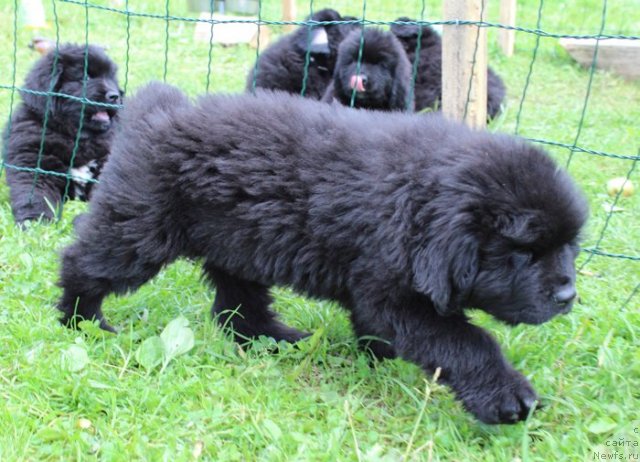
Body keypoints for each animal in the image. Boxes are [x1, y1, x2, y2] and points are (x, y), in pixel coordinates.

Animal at [3, 43, 122, 224]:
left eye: (111, 78)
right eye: (85, 77)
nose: (115, 95)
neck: (76, 136)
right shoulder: (34, 162)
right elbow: (36, 195)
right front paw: (35, 221)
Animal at [57, 84, 588, 426]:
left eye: (568, 245)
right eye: (523, 252)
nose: (567, 296)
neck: (418, 202)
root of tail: (156, 110)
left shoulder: (382, 288)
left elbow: (388, 331)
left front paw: (377, 359)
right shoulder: (393, 293)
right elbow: (466, 340)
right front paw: (508, 396)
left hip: (239, 242)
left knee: (237, 306)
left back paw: (275, 339)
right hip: (140, 228)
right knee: (85, 262)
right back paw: (81, 321)